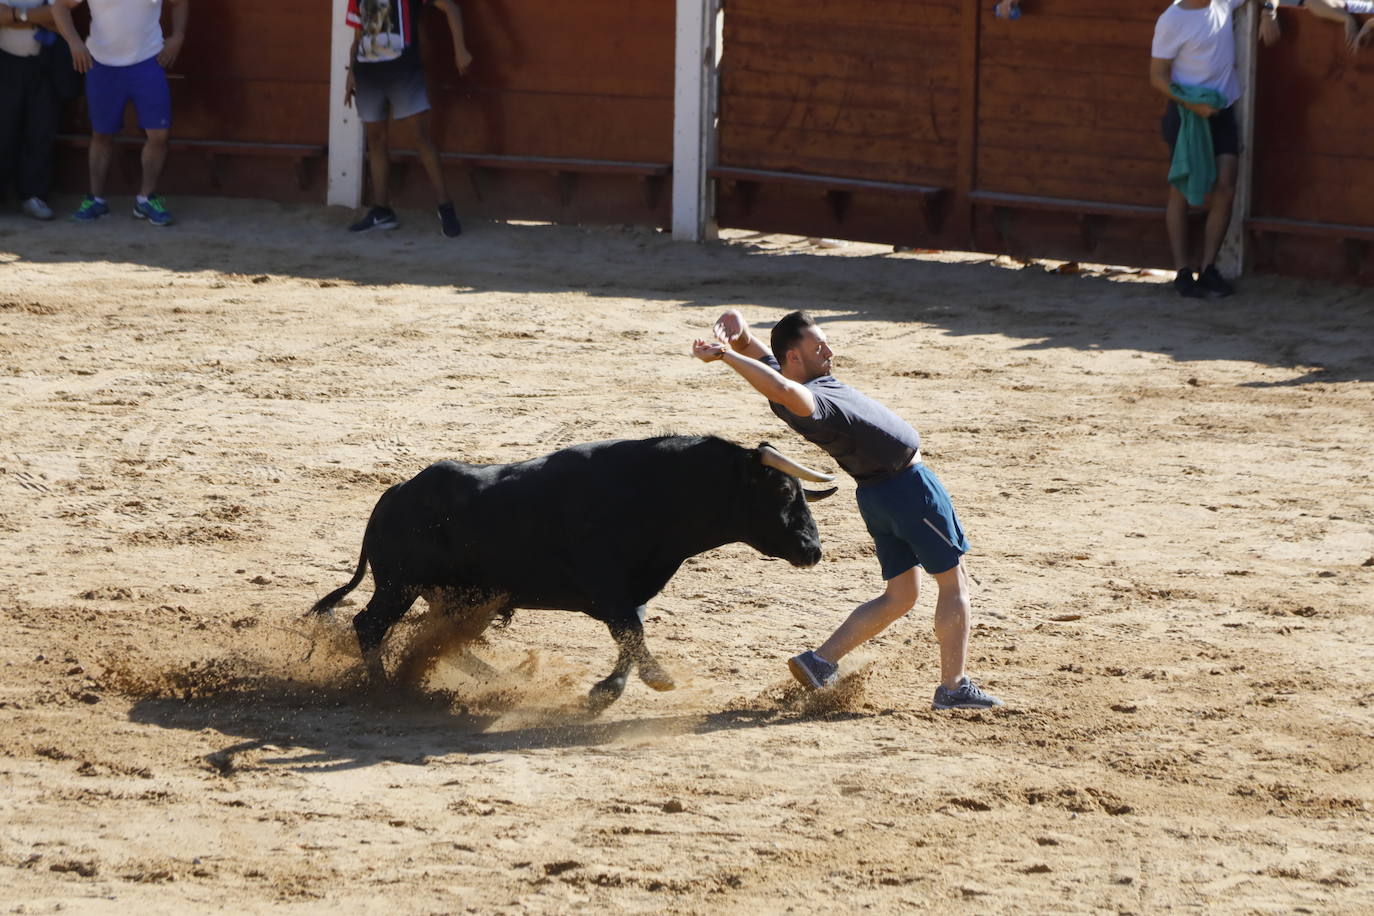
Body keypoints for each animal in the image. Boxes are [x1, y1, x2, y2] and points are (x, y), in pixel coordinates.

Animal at [311, 436, 835, 708]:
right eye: (783, 492)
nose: (813, 550)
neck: (657, 493)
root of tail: (394, 493)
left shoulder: (629, 594)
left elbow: (631, 635)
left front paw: (613, 688)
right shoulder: (605, 589)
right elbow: (631, 634)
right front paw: (648, 682)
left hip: (463, 597)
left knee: (442, 638)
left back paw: (505, 680)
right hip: (400, 585)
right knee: (370, 625)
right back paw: (384, 689)